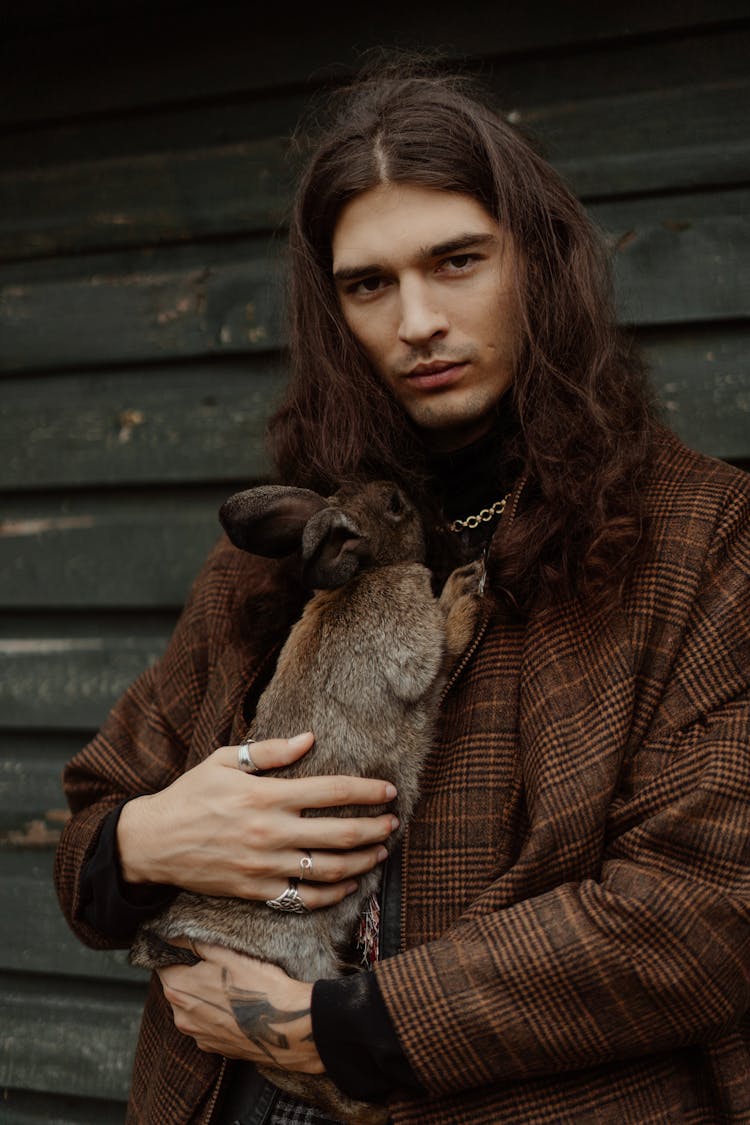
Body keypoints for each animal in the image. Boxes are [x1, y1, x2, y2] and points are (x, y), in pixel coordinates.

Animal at [130, 481, 481, 1125]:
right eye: (395, 506)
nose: (417, 501)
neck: (366, 571)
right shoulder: (410, 641)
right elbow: (443, 646)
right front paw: (467, 589)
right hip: (291, 968)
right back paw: (371, 1111)